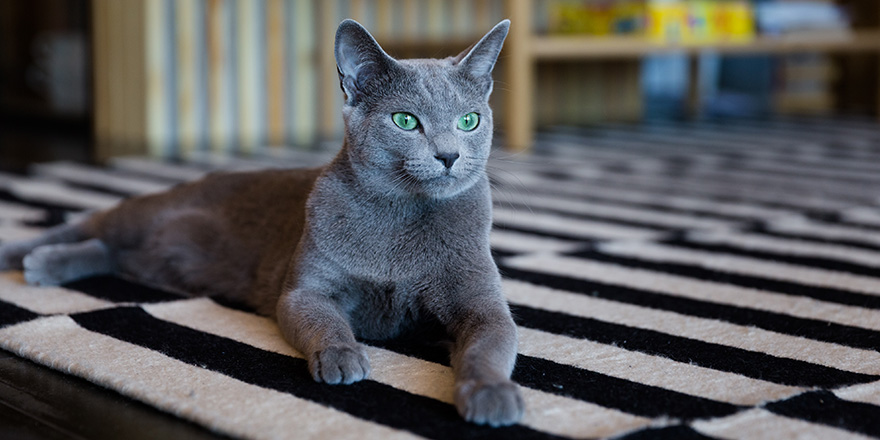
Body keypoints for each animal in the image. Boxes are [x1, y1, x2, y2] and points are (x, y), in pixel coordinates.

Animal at [0, 19, 524, 426]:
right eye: (406, 121)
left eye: (470, 121)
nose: (449, 155)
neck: (405, 217)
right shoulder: (304, 291)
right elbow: (325, 320)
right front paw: (343, 357)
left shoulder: (481, 303)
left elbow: (489, 345)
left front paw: (493, 395)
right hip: (145, 213)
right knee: (92, 222)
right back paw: (28, 255)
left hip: (159, 257)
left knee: (113, 252)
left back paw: (48, 263)